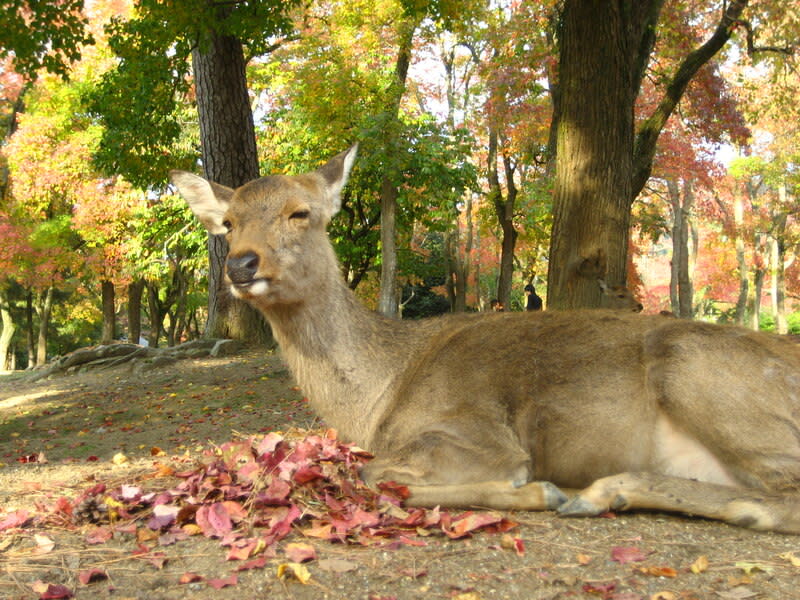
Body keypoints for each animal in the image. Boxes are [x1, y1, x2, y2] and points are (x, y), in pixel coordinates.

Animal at [172, 145, 800, 536]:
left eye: (301, 212)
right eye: (227, 222)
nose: (241, 263)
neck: (378, 397)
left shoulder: (472, 432)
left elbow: (372, 477)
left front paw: (537, 490)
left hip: (699, 372)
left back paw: (593, 493)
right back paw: (604, 492)